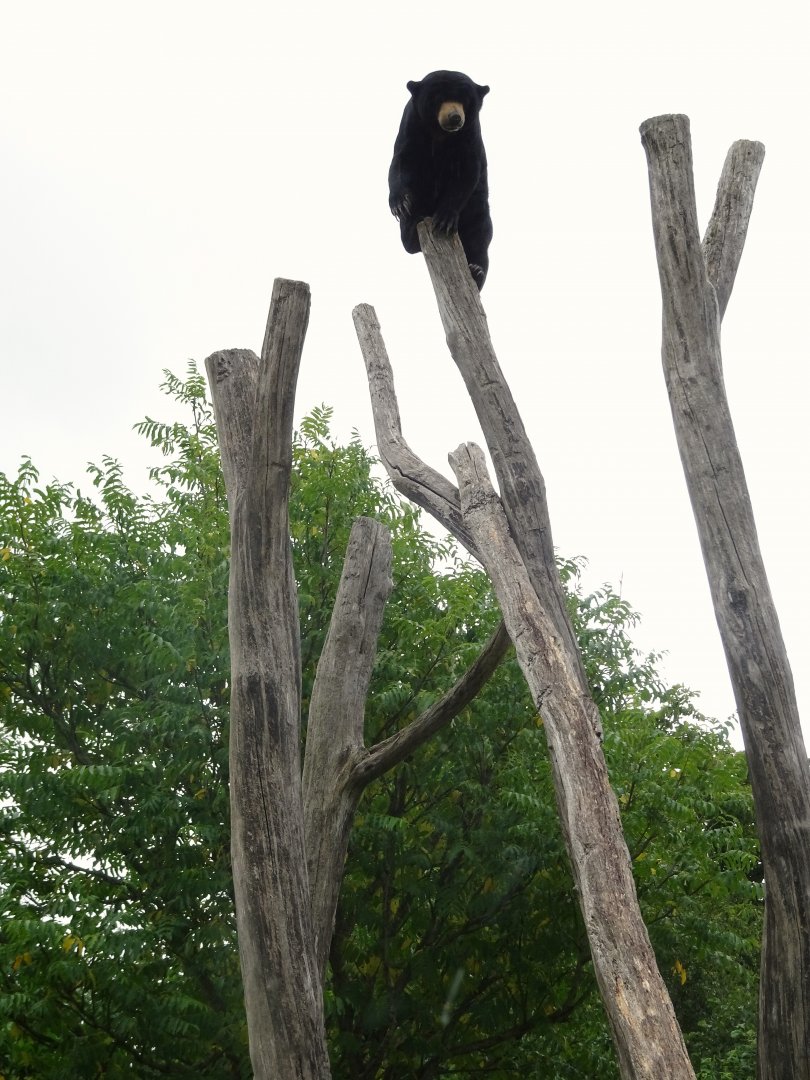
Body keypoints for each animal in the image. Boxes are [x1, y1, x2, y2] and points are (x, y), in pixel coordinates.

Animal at [388, 70, 493, 290]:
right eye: (437, 98)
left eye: (465, 100)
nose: (454, 117)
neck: (440, 135)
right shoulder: (411, 126)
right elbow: (399, 163)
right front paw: (399, 204)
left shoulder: (470, 135)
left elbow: (467, 173)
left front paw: (444, 219)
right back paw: (412, 230)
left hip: (477, 208)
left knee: (481, 236)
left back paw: (476, 271)